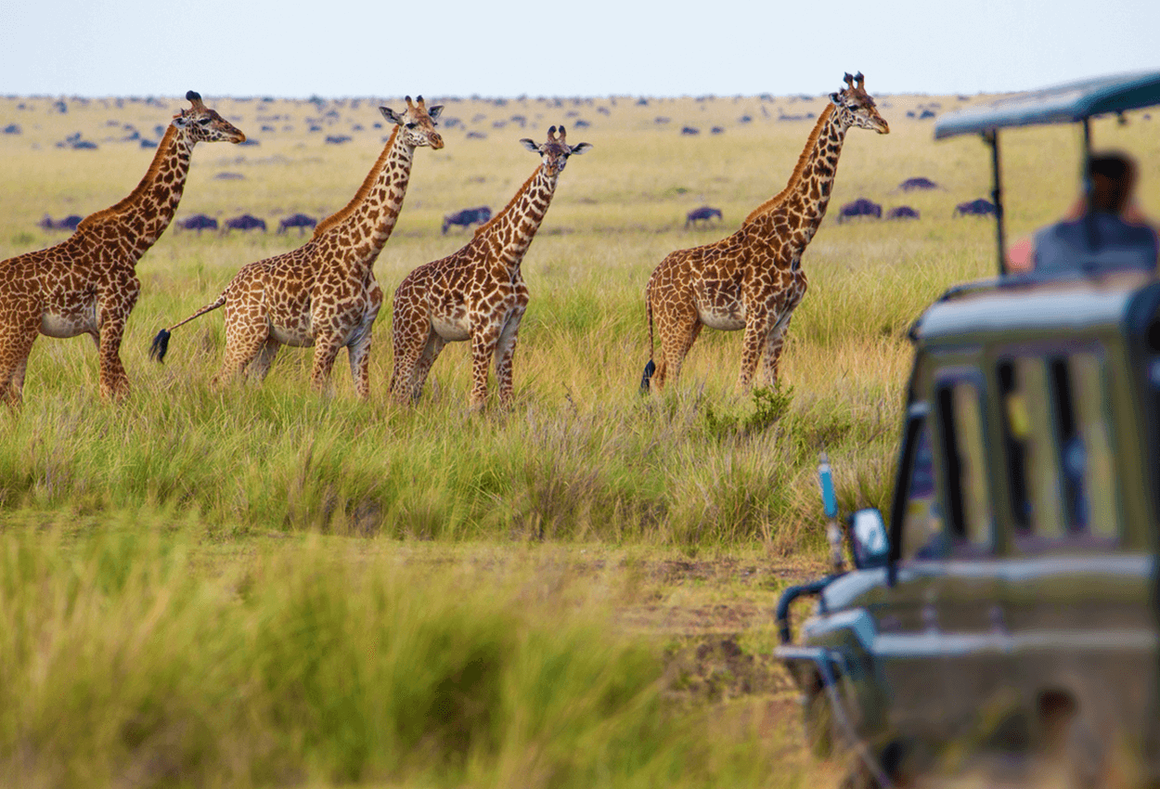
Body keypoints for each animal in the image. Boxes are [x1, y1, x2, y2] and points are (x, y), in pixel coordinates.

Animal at [0, 91, 242, 406]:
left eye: (217, 113)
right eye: (203, 120)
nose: (239, 134)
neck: (133, 243)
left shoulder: (98, 326)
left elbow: (119, 386)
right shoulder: (115, 315)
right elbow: (110, 389)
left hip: (23, 333)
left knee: (13, 394)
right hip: (16, 331)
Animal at [149, 95, 443, 396]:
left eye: (434, 121)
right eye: (410, 123)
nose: (437, 140)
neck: (364, 254)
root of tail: (228, 291)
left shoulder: (362, 335)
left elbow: (363, 394)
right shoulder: (327, 334)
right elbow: (317, 390)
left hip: (269, 339)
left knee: (250, 381)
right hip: (244, 333)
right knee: (221, 379)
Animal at [389, 125, 593, 410]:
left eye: (566, 153)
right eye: (542, 151)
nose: (552, 167)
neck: (512, 256)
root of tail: (398, 292)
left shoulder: (511, 327)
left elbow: (507, 395)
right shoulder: (484, 328)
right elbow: (478, 398)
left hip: (434, 338)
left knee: (412, 388)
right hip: (411, 332)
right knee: (399, 389)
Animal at [644, 72, 886, 392]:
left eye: (873, 101)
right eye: (854, 106)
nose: (884, 125)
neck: (795, 241)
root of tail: (650, 282)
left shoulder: (783, 318)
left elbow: (771, 382)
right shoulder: (758, 316)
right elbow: (744, 383)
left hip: (689, 322)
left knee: (659, 376)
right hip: (676, 321)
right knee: (669, 375)